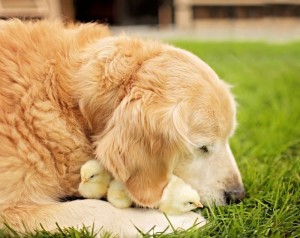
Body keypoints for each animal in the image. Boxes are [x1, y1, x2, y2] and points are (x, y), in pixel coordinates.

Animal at [0, 19, 244, 236]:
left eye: (228, 138)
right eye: (202, 147)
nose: (238, 196)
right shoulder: (8, 210)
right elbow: (95, 209)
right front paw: (175, 220)